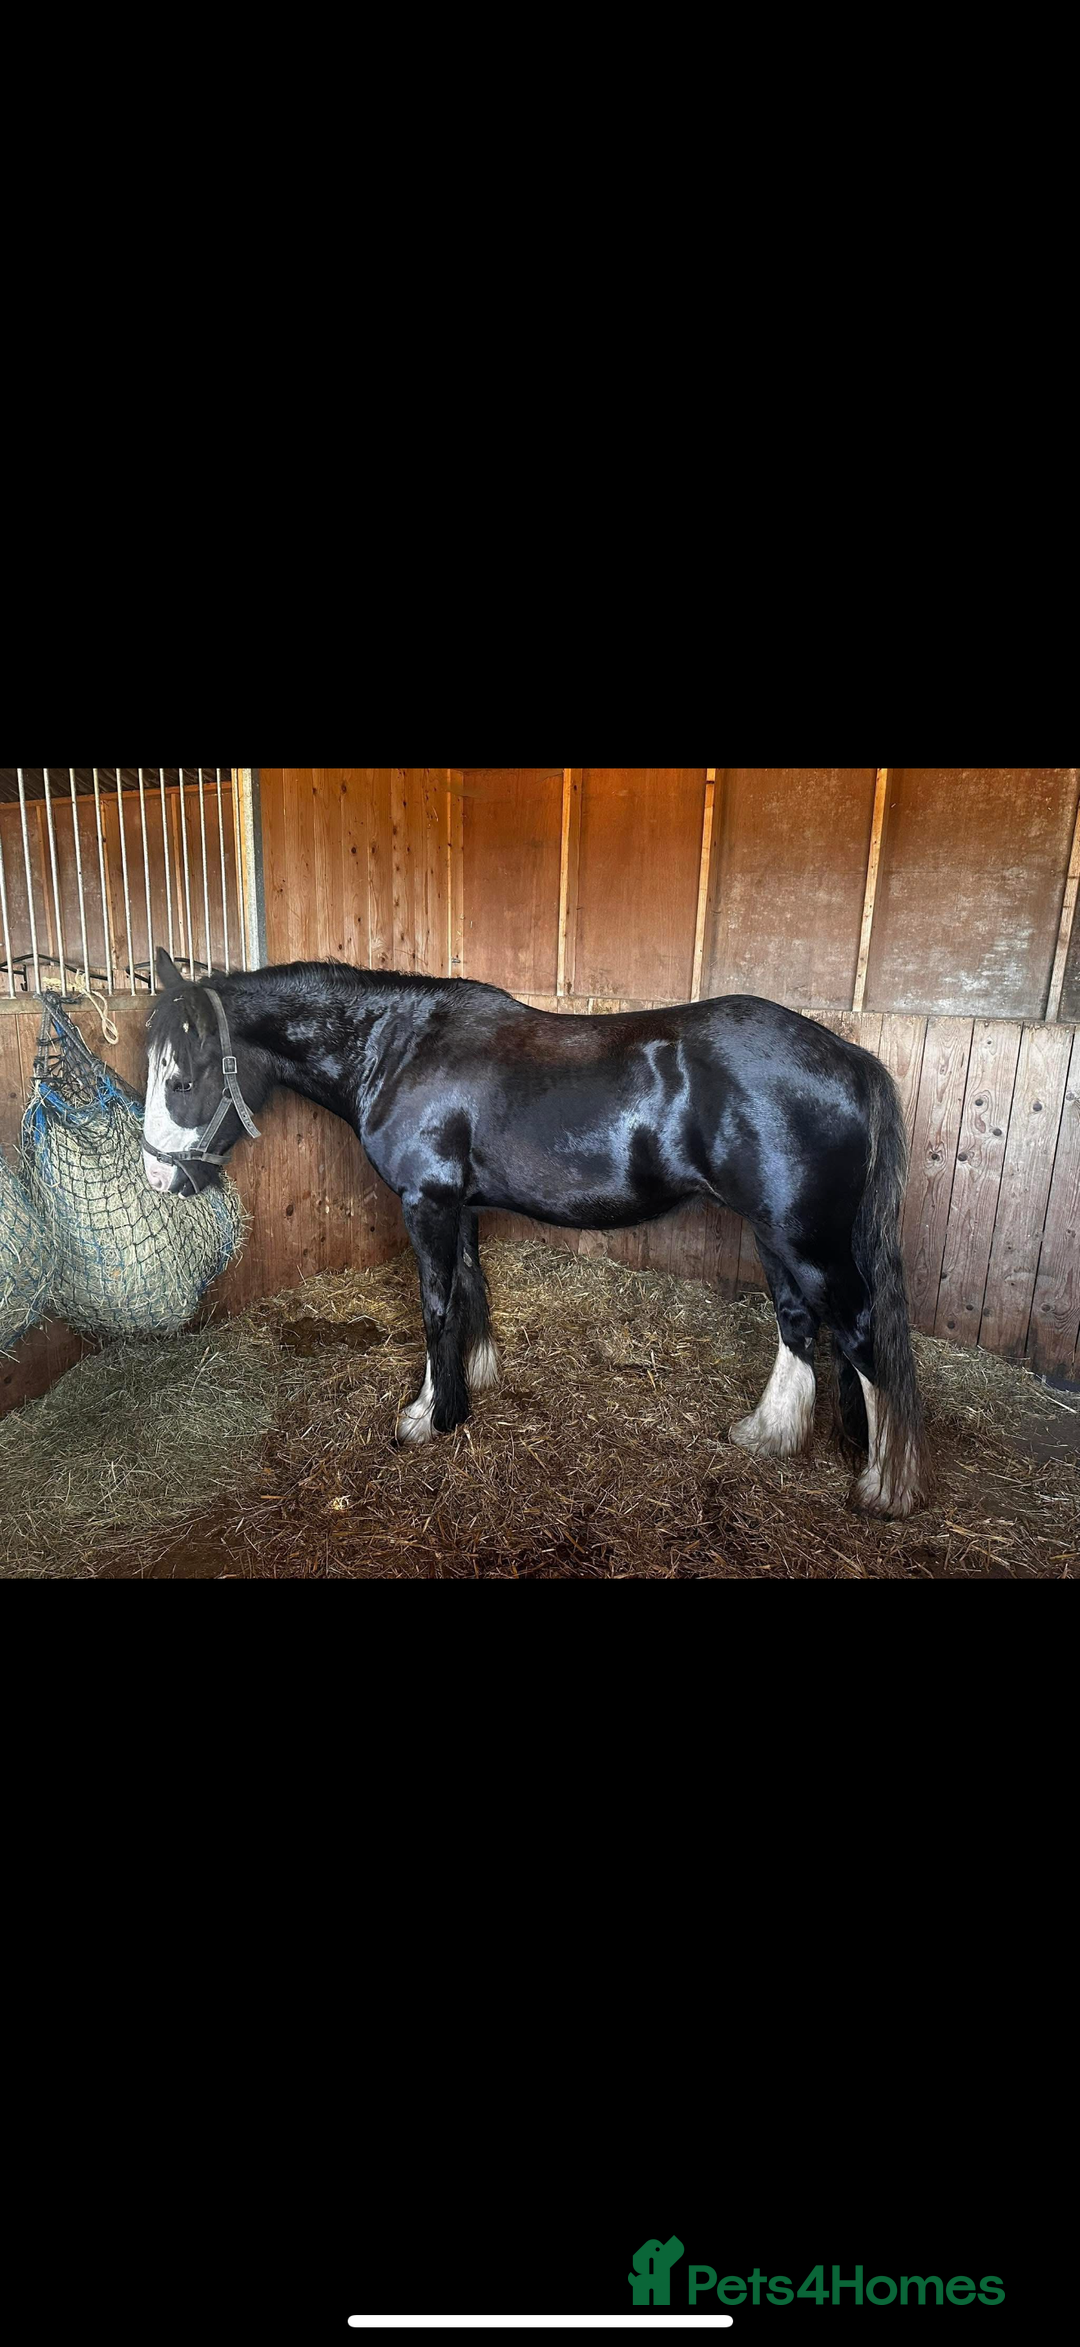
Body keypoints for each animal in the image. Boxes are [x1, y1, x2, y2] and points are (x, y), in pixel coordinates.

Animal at [142, 948, 927, 1517]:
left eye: (181, 1079)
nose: (156, 1178)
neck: (397, 1048)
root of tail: (851, 1061)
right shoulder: (457, 1205)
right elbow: (468, 1288)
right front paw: (468, 1383)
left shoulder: (427, 1202)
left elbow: (435, 1306)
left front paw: (428, 1416)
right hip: (775, 1235)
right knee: (798, 1322)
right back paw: (767, 1434)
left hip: (807, 1240)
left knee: (861, 1336)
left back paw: (885, 1489)